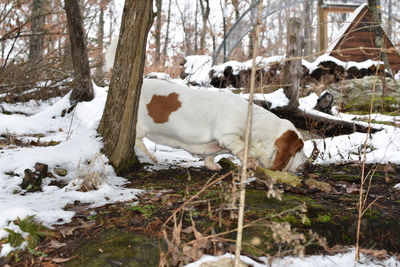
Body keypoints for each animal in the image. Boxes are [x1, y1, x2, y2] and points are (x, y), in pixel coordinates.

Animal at [134, 78, 306, 173]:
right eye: (300, 150)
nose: (306, 165)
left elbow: (212, 155)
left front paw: (212, 165)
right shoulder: (227, 136)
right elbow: (241, 149)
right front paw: (251, 163)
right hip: (139, 128)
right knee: (138, 141)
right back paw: (151, 156)